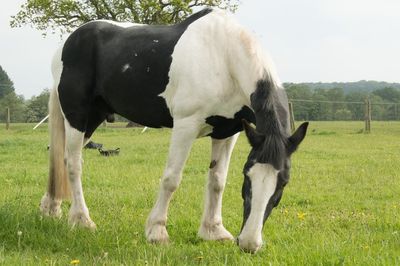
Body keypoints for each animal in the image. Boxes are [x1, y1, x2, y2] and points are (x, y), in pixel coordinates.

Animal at [39, 7, 310, 254]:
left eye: (283, 183)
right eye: (248, 177)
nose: (249, 243)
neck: (224, 56)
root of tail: (69, 42)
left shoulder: (227, 133)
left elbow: (217, 180)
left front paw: (213, 231)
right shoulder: (185, 125)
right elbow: (171, 179)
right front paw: (157, 232)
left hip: (92, 119)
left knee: (62, 158)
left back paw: (51, 207)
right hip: (77, 116)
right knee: (73, 163)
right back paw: (81, 220)